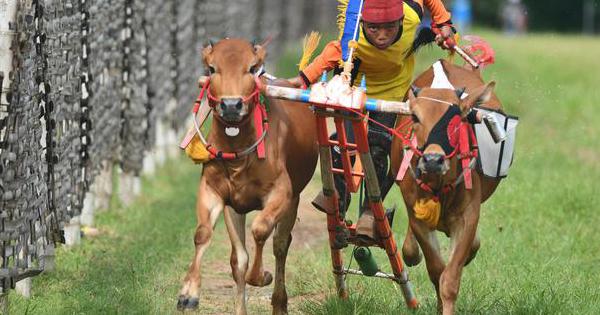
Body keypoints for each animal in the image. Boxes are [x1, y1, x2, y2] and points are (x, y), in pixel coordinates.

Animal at [176, 39, 318, 315]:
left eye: (252, 68)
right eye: (211, 68)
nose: (231, 105)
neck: (240, 157)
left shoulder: (281, 192)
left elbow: (261, 230)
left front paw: (261, 276)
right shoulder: (218, 194)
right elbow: (210, 239)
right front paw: (188, 294)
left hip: (294, 200)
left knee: (281, 244)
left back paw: (279, 302)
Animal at [392, 59, 504, 315]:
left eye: (457, 118)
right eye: (415, 117)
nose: (433, 160)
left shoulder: (468, 217)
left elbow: (450, 279)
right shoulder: (418, 217)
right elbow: (436, 271)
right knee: (410, 252)